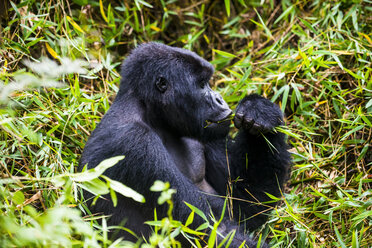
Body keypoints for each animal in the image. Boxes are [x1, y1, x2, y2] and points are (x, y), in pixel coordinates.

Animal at [80, 41, 290, 247]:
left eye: (208, 83)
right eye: (202, 84)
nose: (219, 99)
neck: (153, 114)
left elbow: (245, 205)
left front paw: (260, 111)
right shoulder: (133, 142)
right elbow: (213, 230)